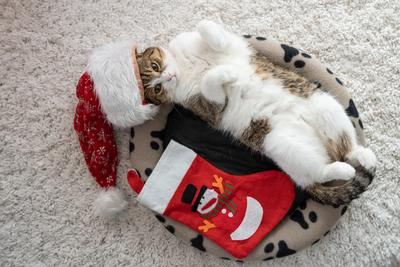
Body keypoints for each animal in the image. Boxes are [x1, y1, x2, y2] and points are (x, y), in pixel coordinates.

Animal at [137, 19, 376, 206]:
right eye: (157, 88)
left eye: (156, 66)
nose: (167, 77)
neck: (184, 66)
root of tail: (327, 150)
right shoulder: (210, 107)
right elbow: (210, 81)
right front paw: (228, 74)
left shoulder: (232, 44)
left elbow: (207, 27)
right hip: (280, 144)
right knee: (318, 173)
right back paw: (345, 170)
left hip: (323, 104)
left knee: (347, 147)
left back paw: (364, 156)